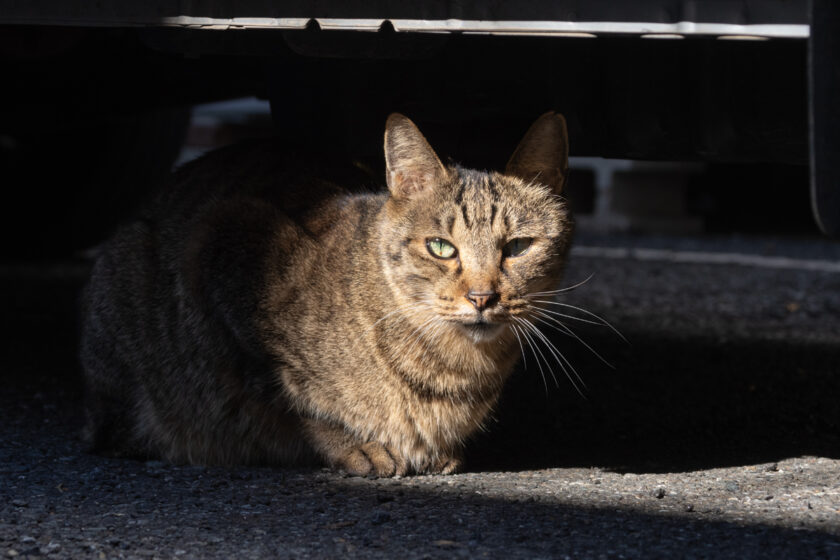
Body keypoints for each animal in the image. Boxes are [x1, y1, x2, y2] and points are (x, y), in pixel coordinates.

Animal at [80, 111, 572, 474]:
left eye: (518, 247)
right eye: (441, 247)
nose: (482, 297)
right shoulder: (220, 244)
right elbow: (287, 395)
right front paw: (353, 443)